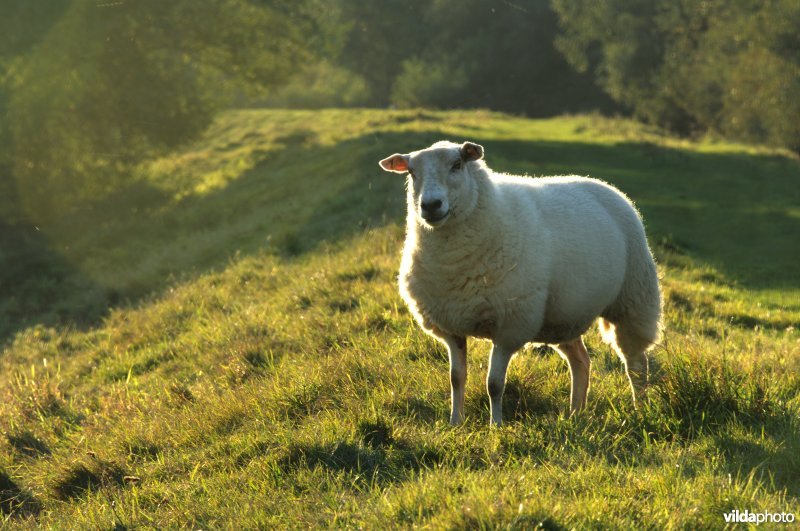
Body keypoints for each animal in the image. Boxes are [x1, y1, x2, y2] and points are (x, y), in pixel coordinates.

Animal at [380, 139, 664, 426]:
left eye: (457, 164)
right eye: (412, 172)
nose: (430, 205)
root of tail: (603, 184)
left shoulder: (510, 326)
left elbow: (494, 384)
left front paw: (496, 425)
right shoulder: (452, 327)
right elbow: (456, 379)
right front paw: (455, 422)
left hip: (633, 301)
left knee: (636, 364)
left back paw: (639, 409)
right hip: (563, 317)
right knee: (581, 361)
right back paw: (575, 414)